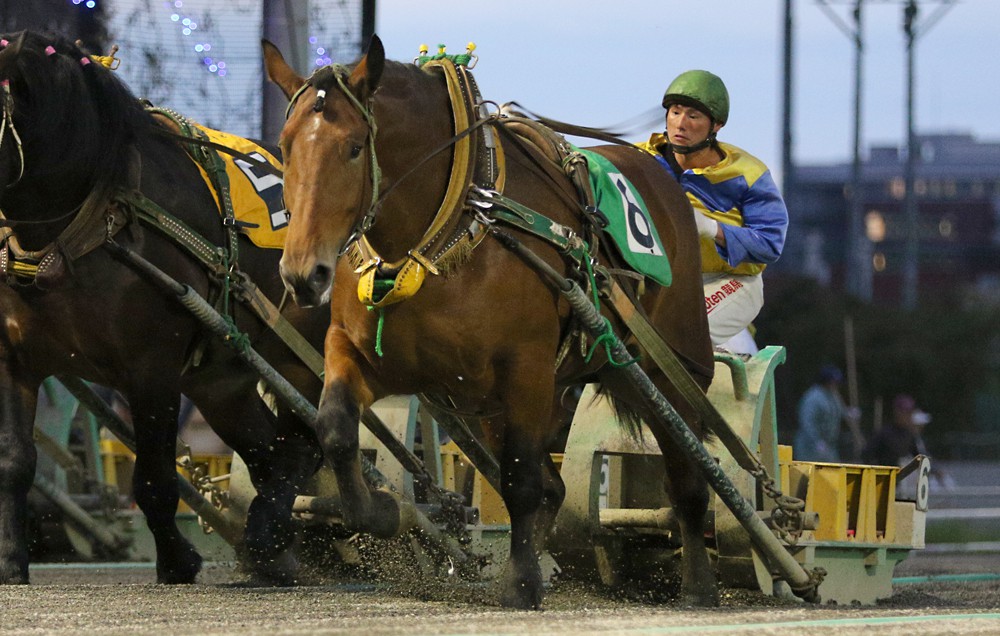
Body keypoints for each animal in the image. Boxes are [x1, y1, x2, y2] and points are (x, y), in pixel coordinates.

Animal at [0, 32, 326, 584]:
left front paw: (177, 559)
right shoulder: (14, 360)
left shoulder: (151, 366)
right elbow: (14, 463)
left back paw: (270, 533)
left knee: (309, 442)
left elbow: (153, 479)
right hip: (221, 381)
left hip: (301, 359)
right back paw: (271, 541)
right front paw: (10, 561)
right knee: (273, 452)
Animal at [264, 36, 720, 612]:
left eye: (352, 147)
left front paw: (520, 582)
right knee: (554, 487)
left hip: (668, 372)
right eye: (285, 146)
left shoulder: (526, 369)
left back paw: (699, 585)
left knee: (687, 478)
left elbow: (520, 480)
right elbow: (336, 429)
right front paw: (384, 511)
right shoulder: (361, 352)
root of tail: (664, 176)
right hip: (491, 402)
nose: (303, 274)